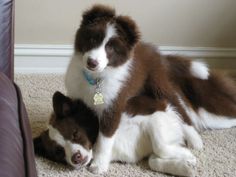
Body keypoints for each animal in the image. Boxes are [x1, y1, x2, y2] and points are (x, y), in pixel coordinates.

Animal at [34, 92, 202, 176]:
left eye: (75, 133)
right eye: (58, 152)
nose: (76, 158)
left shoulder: (154, 117)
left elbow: (160, 146)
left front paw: (188, 156)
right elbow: (153, 161)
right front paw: (184, 168)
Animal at [65, 3, 236, 173]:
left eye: (111, 49)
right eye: (92, 39)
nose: (92, 62)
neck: (94, 79)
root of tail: (155, 52)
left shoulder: (114, 103)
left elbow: (105, 138)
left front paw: (99, 164)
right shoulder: (75, 94)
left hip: (158, 83)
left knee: (180, 109)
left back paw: (194, 139)